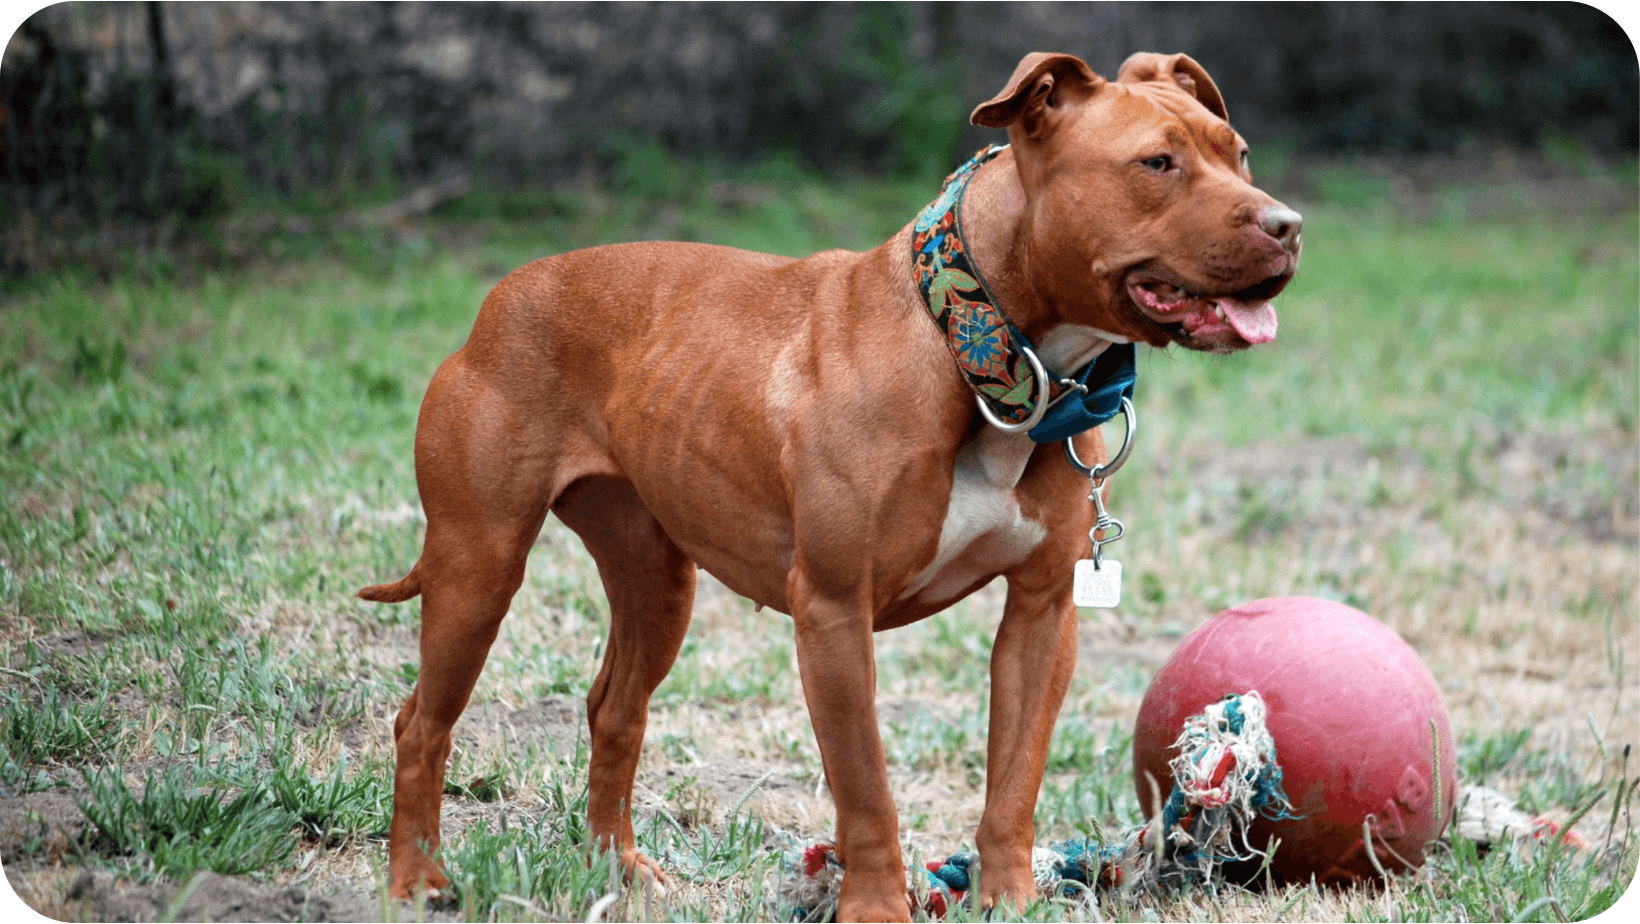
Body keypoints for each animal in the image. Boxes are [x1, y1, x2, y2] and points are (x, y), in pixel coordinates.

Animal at [359, 52, 1292, 924]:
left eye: (1239, 153)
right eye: (1157, 163)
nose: (1288, 224)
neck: (978, 347)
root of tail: (504, 294)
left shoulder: (1041, 612)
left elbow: (1012, 784)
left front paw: (1011, 899)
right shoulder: (835, 614)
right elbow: (865, 789)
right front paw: (875, 904)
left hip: (657, 582)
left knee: (613, 710)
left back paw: (617, 868)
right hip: (479, 564)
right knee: (422, 723)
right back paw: (417, 880)